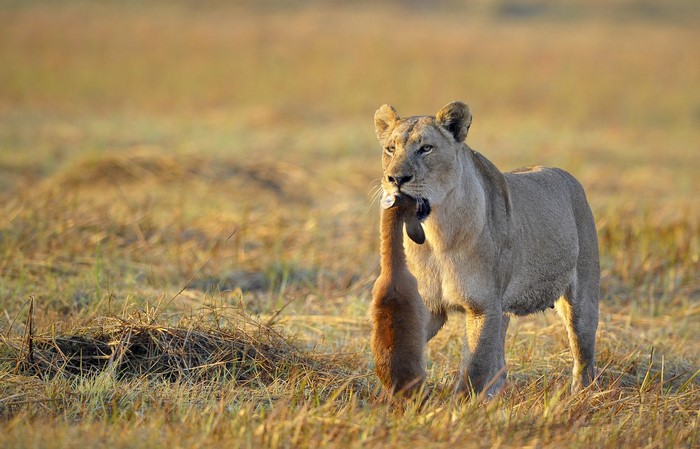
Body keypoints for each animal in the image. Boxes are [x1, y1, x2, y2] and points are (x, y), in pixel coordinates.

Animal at [373, 101, 600, 396]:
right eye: (390, 148)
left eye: (426, 148)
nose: (395, 178)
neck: (438, 235)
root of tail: (567, 176)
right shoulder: (430, 305)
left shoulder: (483, 305)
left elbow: (475, 367)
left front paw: (461, 406)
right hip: (503, 309)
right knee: (501, 362)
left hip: (582, 299)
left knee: (584, 354)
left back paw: (582, 395)